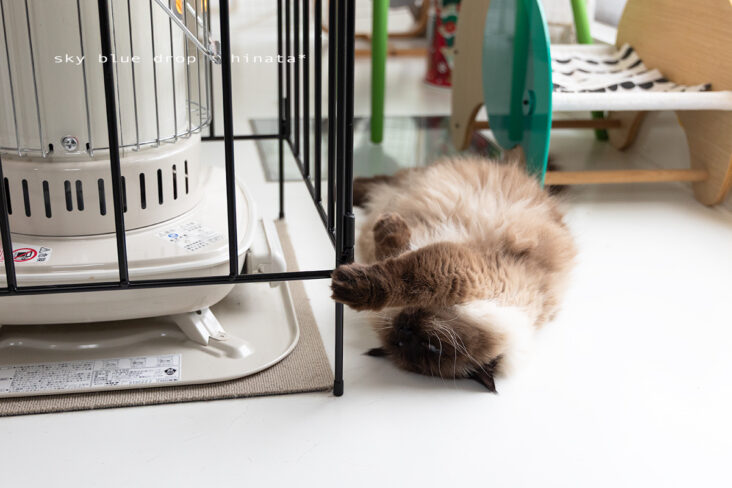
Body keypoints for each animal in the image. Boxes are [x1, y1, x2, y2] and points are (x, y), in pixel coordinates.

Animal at [331, 155, 576, 392]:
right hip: (412, 177)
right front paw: (387, 224)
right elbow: (393, 255)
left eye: (432, 347)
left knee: (381, 187)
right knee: (380, 181)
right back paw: (343, 188)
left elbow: (400, 274)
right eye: (401, 340)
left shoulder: (455, 273)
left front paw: (343, 285)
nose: (404, 328)